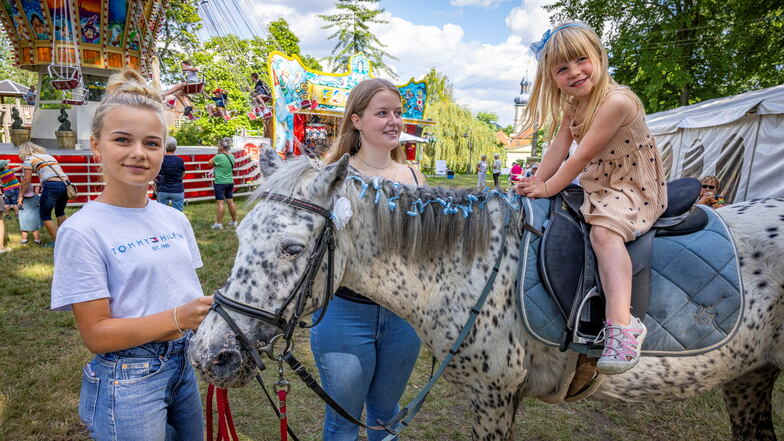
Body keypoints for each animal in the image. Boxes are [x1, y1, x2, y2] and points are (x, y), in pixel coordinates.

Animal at [191, 152, 784, 440]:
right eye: (241, 236)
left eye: (292, 248)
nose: (209, 354)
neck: (465, 266)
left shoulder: (492, 396)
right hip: (749, 377)